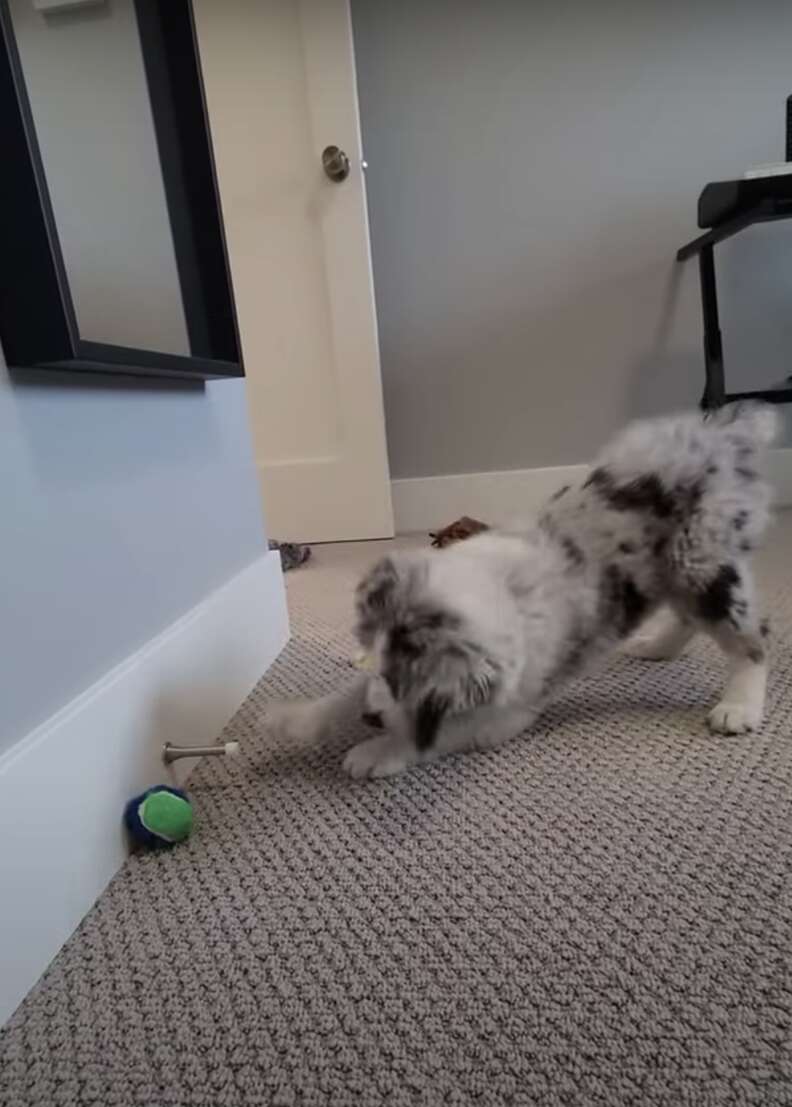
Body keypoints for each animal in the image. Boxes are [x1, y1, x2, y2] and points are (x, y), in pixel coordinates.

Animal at [271, 407, 775, 779]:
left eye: (413, 674)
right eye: (379, 658)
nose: (370, 720)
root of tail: (725, 435)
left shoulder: (505, 714)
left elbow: (437, 731)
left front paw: (376, 751)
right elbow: (347, 691)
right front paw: (297, 719)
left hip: (702, 562)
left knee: (751, 639)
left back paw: (738, 706)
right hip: (675, 569)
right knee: (688, 616)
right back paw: (657, 646)